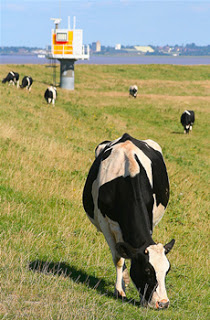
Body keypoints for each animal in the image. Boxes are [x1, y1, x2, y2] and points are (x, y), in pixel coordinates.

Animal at [83, 133, 175, 310]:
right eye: (147, 271)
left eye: (167, 271)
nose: (163, 303)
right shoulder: (106, 224)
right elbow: (119, 258)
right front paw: (119, 290)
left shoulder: (150, 218)